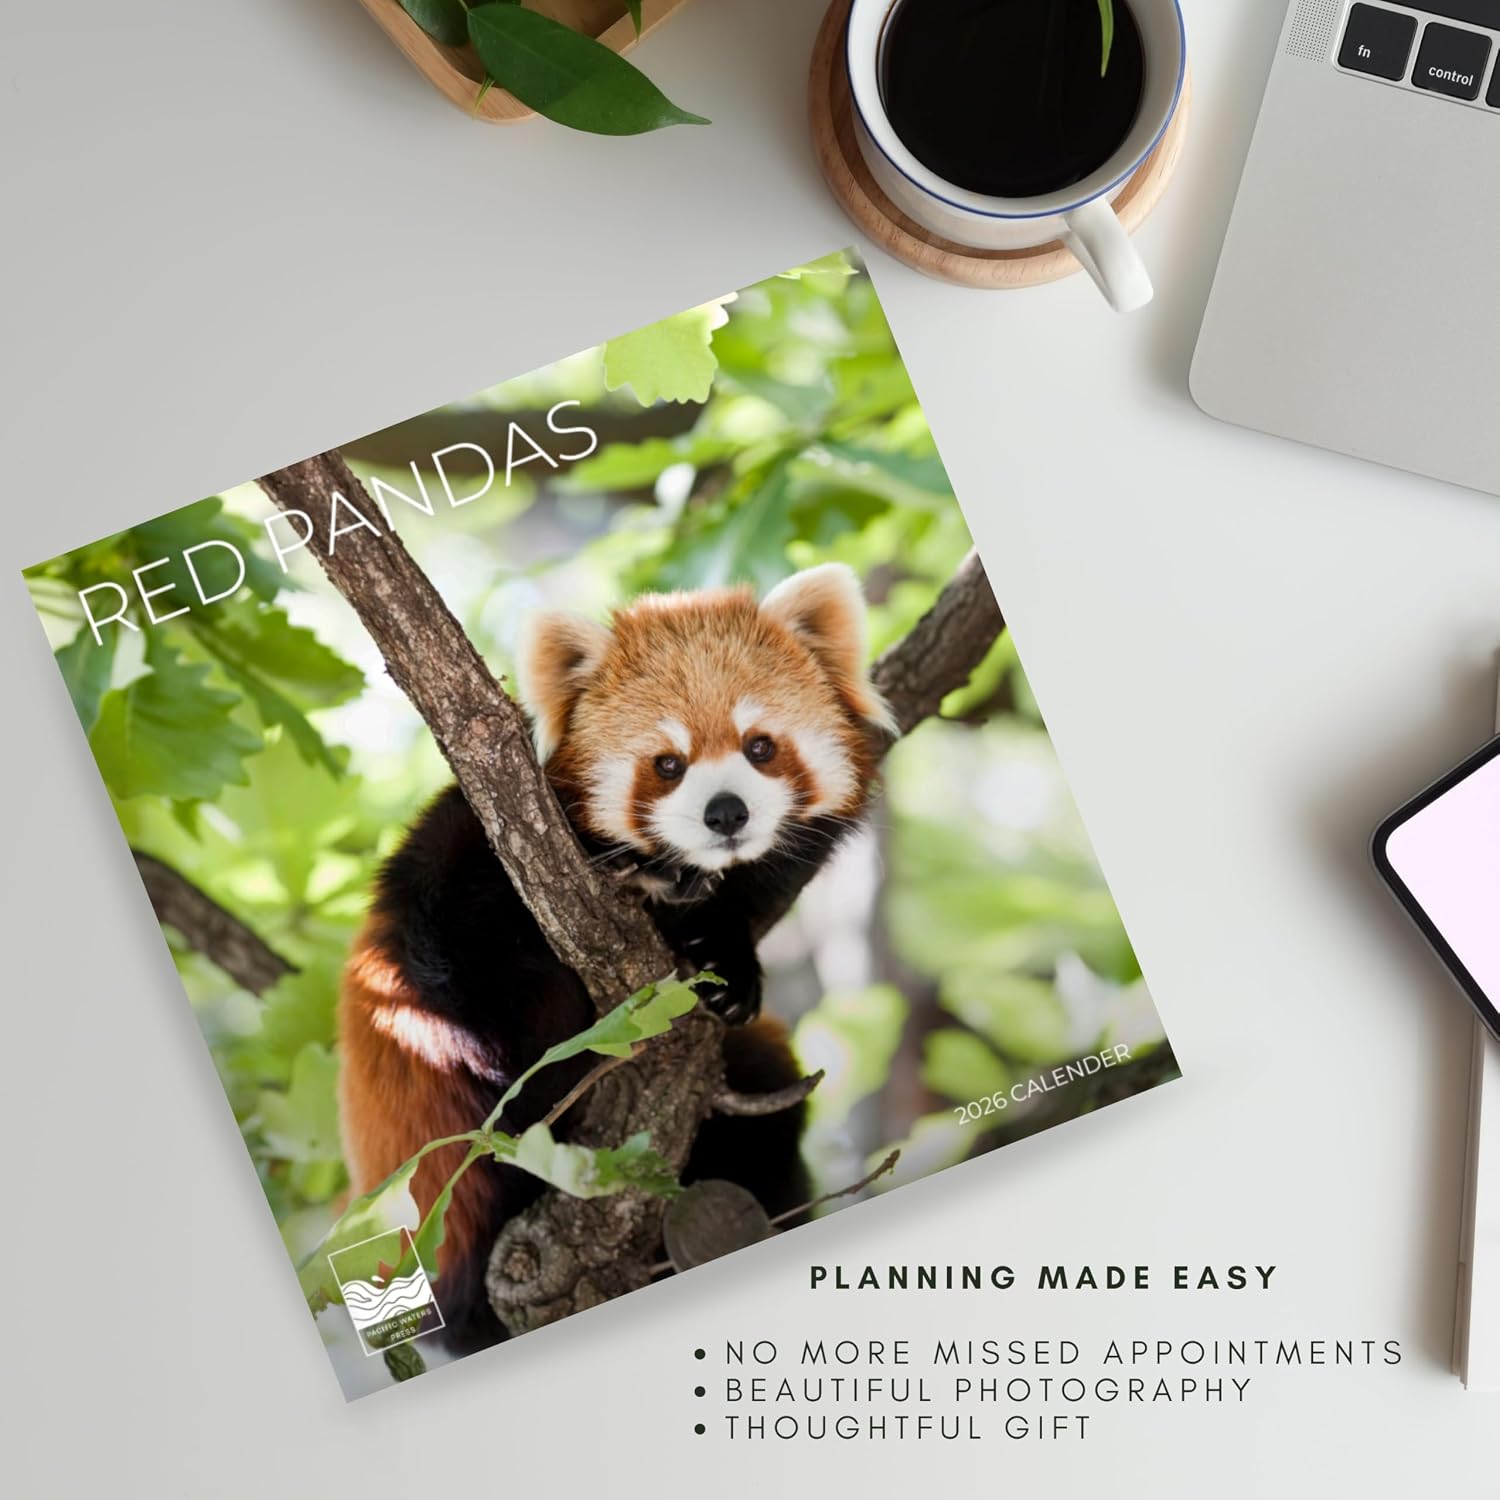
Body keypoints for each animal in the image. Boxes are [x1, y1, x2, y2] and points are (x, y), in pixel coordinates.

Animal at [337, 563, 894, 1353]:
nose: (726, 813)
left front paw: (729, 968)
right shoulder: (461, 858)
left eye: (760, 746)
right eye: (667, 765)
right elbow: (455, 951)